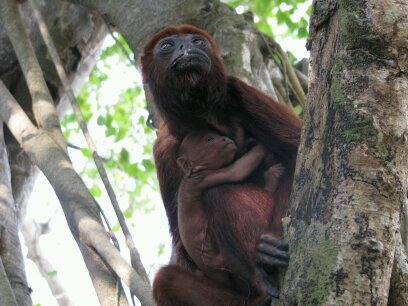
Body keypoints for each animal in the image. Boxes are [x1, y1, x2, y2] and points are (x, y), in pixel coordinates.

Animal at [142, 23, 302, 304]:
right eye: (167, 45)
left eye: (197, 41)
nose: (187, 47)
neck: (202, 116)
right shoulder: (164, 145)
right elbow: (179, 237)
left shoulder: (240, 92)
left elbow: (297, 149)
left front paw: (272, 242)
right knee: (165, 281)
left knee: (220, 193)